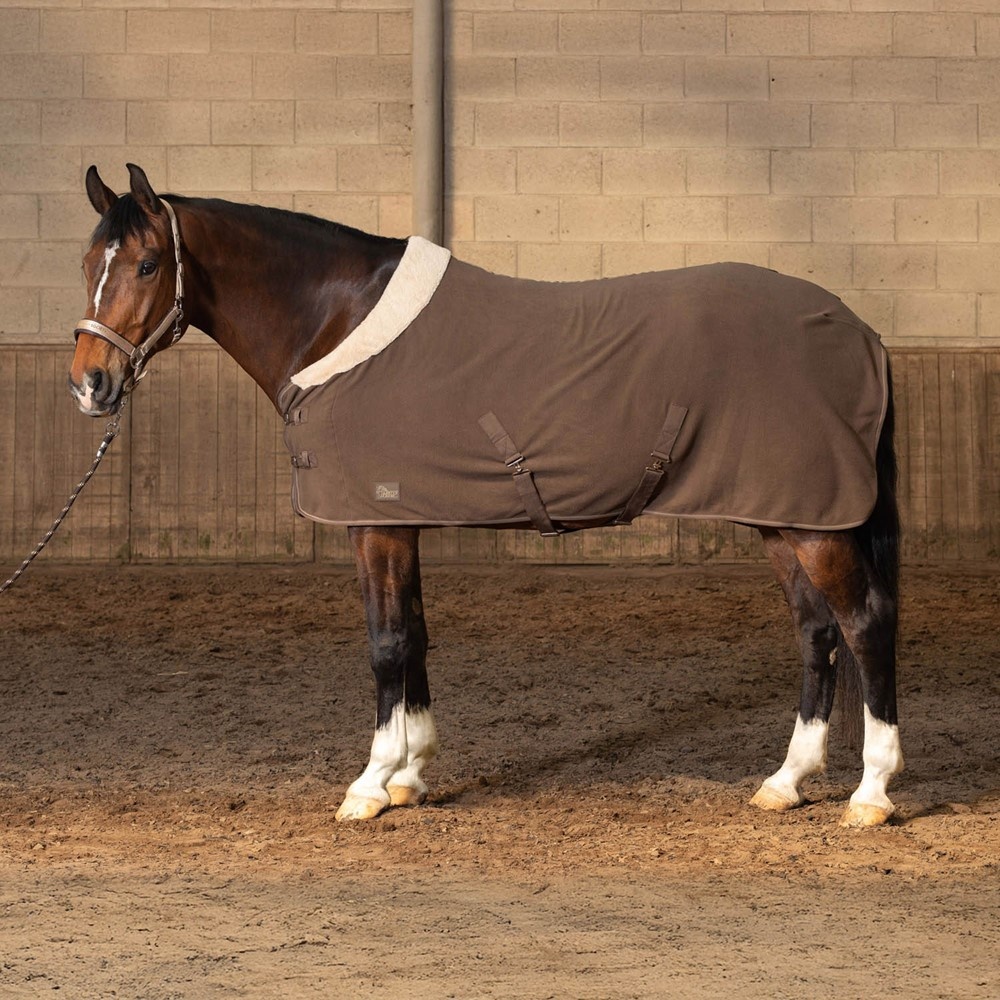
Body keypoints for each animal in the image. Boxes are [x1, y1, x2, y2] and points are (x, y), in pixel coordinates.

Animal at [69, 164, 903, 828]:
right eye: (86, 263)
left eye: (148, 263)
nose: (90, 384)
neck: (337, 317)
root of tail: (858, 329)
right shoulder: (399, 520)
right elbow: (415, 633)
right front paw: (410, 775)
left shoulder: (374, 521)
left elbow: (386, 642)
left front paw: (371, 784)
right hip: (782, 515)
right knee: (815, 631)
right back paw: (786, 782)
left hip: (814, 522)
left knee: (862, 624)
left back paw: (871, 793)